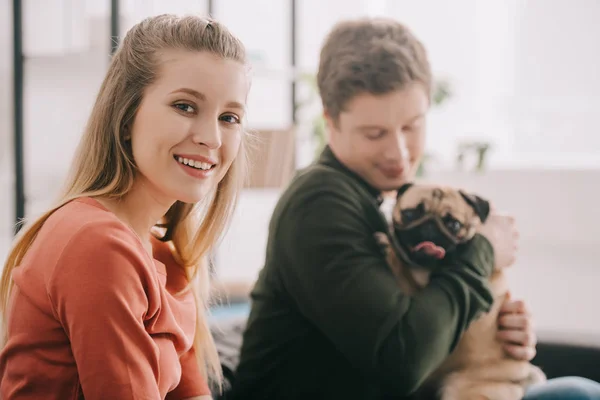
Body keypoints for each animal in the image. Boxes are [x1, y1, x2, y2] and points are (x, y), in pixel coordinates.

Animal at [376, 184, 548, 400]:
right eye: (409, 214)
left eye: (454, 225)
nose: (429, 226)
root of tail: (515, 382)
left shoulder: (416, 285)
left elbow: (402, 270)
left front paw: (388, 246)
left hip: (462, 390)